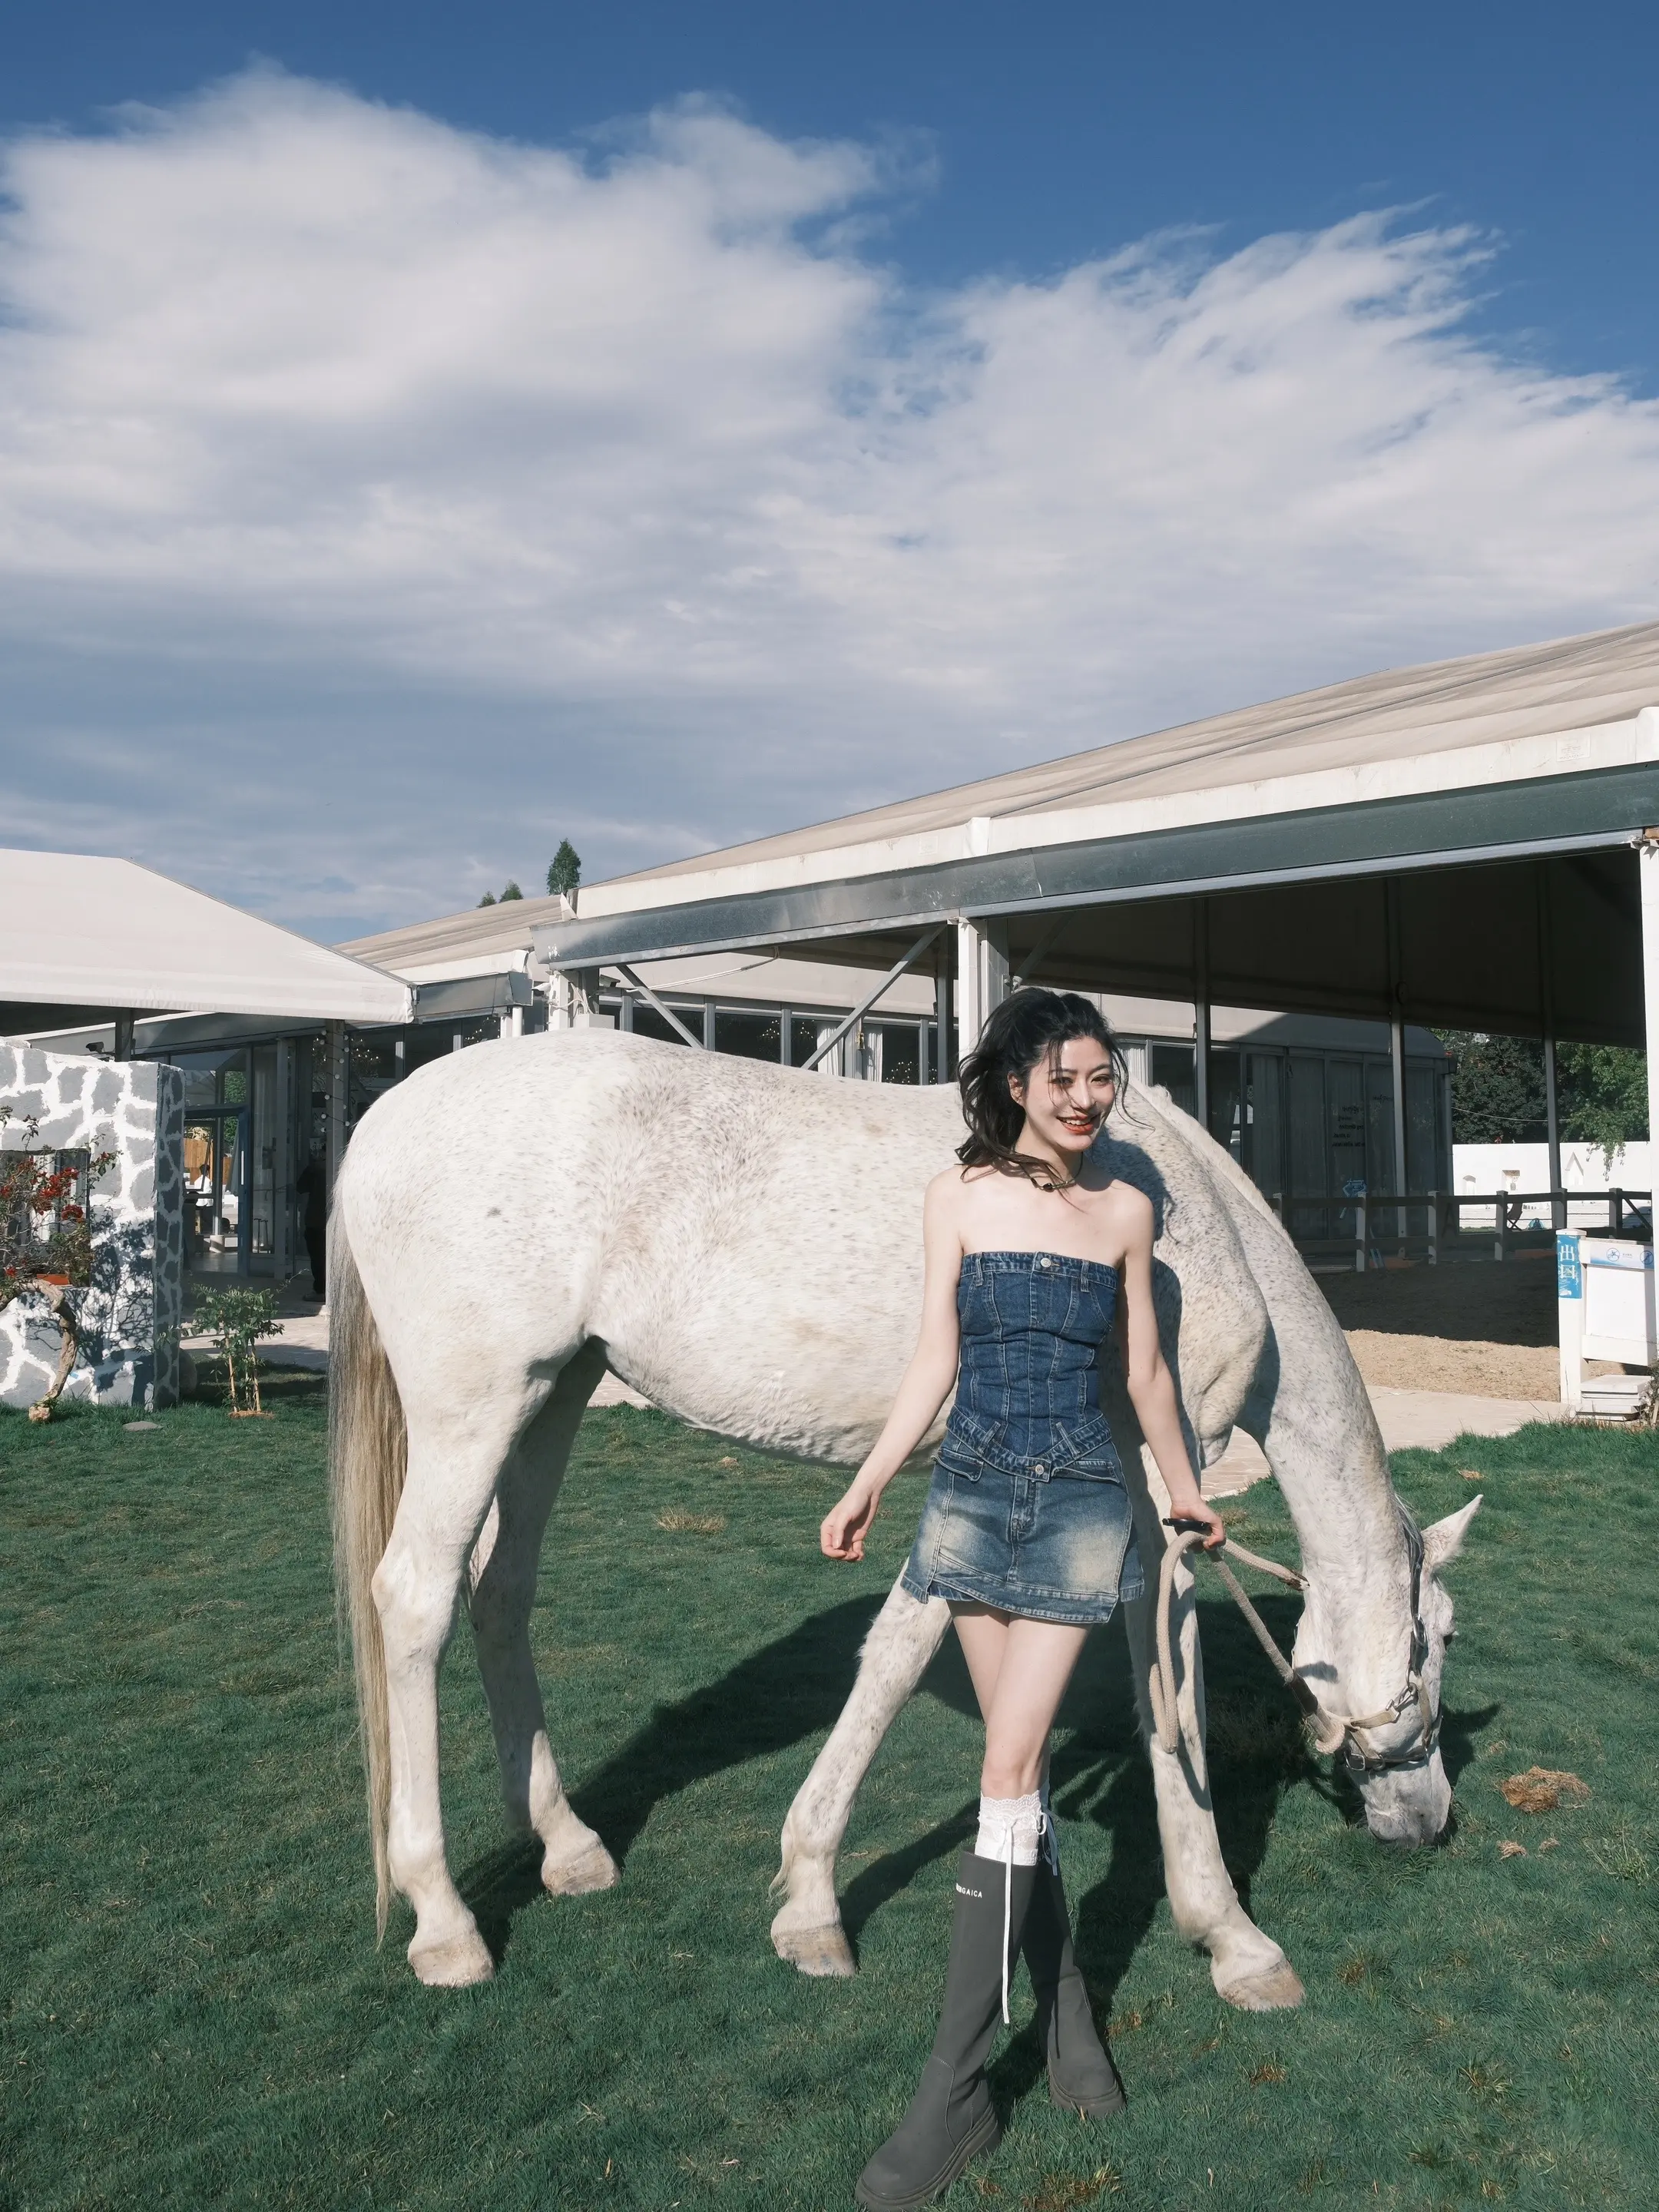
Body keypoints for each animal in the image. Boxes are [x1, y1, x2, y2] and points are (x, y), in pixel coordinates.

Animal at [330, 1028, 1478, 1996]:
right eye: (1442, 1639)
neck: (1201, 1216)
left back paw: (568, 1847)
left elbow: (903, 1646)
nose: (1430, 1822)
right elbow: (1169, 1685)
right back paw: (443, 1922)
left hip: (554, 1396)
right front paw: (1231, 1934)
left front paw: (810, 1892)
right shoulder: (1164, 1482)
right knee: (418, 1601)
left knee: (501, 1591)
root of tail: (380, 1123)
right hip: (475, 1413)